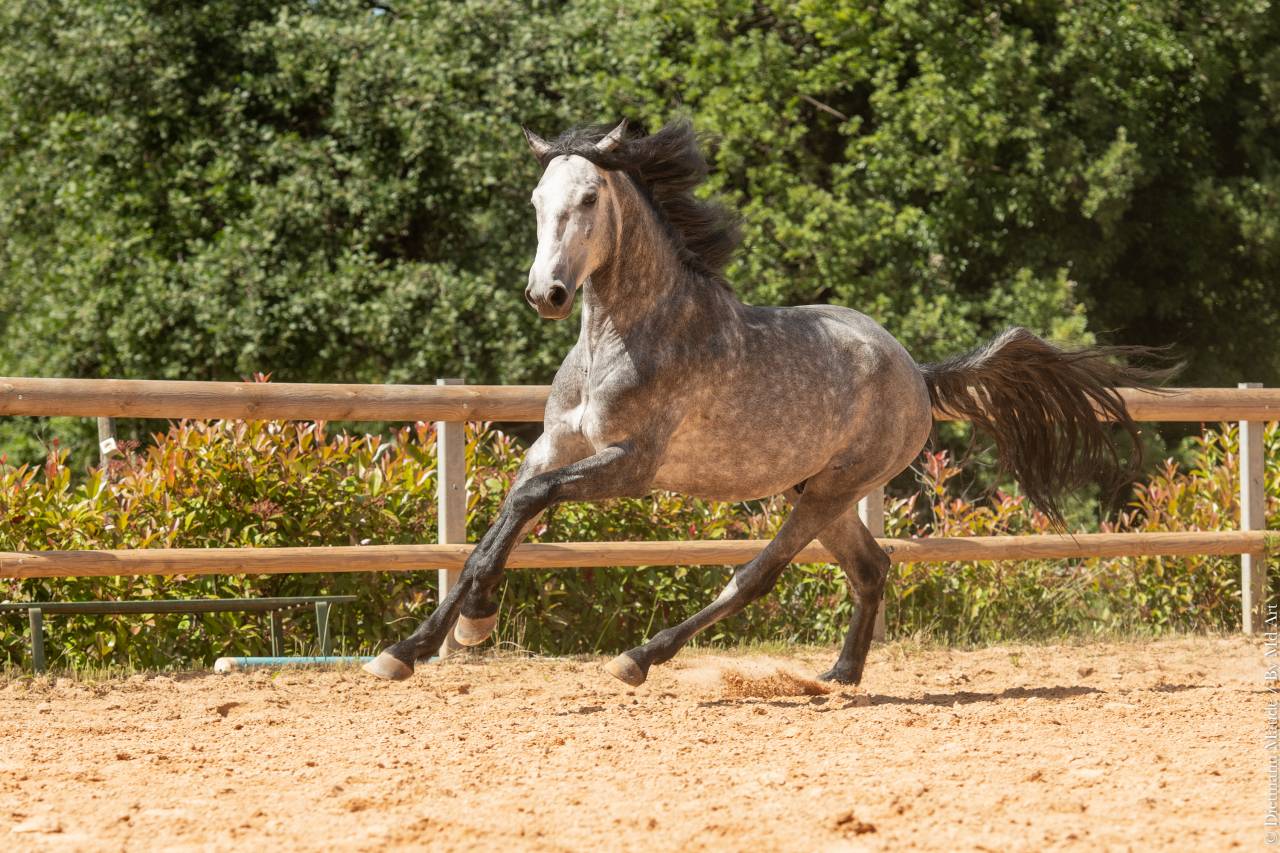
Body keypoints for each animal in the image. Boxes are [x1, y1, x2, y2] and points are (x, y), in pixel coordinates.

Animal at [364, 119, 1158, 687]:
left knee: (758, 575)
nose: (547, 295)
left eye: (588, 200)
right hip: (818, 492)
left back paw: (640, 658)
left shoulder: (632, 466)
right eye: (536, 203)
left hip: (830, 491)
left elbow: (527, 503)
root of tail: (916, 372)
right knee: (871, 568)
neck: (623, 337)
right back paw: (840, 675)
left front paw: (475, 623)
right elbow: (495, 526)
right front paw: (410, 647)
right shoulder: (556, 446)